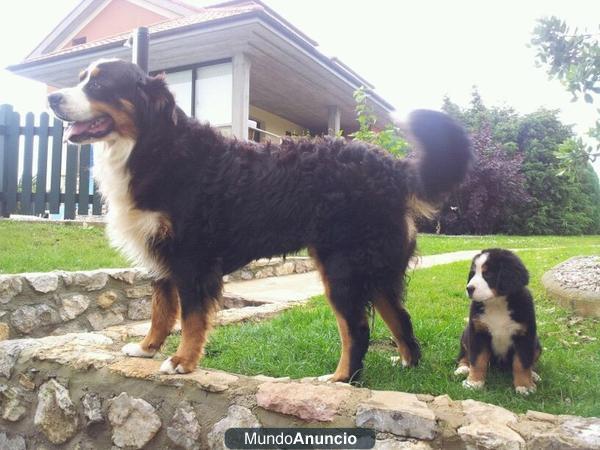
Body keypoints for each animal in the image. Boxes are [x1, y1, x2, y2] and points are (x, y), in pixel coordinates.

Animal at [49, 59, 472, 380]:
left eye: (99, 84)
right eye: (81, 78)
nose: (52, 96)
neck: (152, 147)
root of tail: (392, 166)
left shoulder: (192, 258)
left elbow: (191, 318)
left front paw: (182, 361)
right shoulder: (162, 256)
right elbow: (161, 311)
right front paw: (147, 348)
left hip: (343, 265)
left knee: (357, 328)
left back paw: (339, 379)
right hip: (377, 269)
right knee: (401, 319)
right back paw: (407, 363)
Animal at [454, 250, 544, 394]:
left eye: (488, 274)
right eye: (473, 273)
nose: (469, 288)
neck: (497, 303)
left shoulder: (525, 336)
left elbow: (522, 363)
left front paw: (525, 385)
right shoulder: (478, 332)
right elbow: (477, 360)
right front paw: (474, 382)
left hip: (537, 344)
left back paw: (534, 375)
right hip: (466, 335)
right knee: (464, 355)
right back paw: (463, 368)